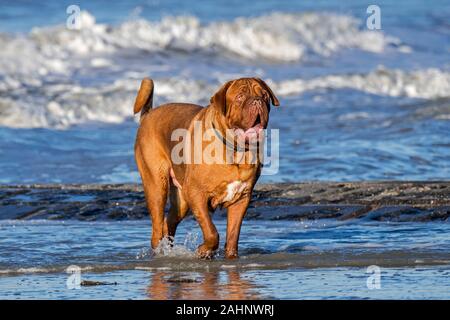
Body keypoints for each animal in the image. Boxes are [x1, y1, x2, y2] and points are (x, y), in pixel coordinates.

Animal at [133, 78, 278, 260]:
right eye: (240, 97)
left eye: (265, 95)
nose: (258, 101)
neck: (235, 150)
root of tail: (148, 115)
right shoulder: (196, 193)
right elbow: (211, 231)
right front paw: (204, 250)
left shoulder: (241, 198)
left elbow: (233, 235)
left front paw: (230, 256)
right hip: (157, 187)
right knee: (157, 229)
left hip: (181, 200)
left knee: (169, 222)